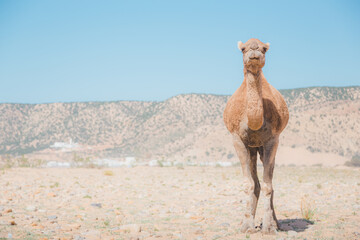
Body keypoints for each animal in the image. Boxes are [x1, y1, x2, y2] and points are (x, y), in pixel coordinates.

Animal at [224, 38, 288, 233]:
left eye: (264, 49)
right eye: (243, 49)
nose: (254, 51)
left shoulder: (272, 140)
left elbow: (268, 186)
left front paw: (268, 227)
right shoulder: (237, 139)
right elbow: (249, 184)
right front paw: (247, 226)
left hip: (264, 147)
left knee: (269, 183)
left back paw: (276, 223)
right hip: (252, 148)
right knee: (256, 184)